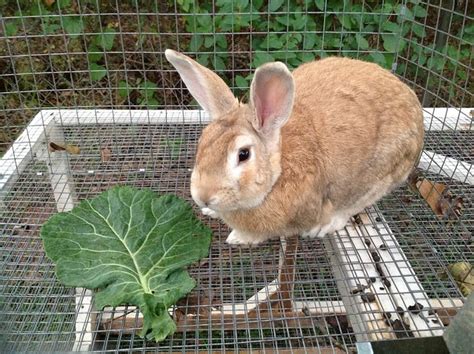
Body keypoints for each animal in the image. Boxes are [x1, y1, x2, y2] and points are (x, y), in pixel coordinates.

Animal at [165, 48, 424, 245]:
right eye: (203, 142)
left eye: (243, 154)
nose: (203, 197)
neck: (278, 172)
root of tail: (414, 107)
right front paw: (210, 212)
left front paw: (237, 237)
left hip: (381, 176)